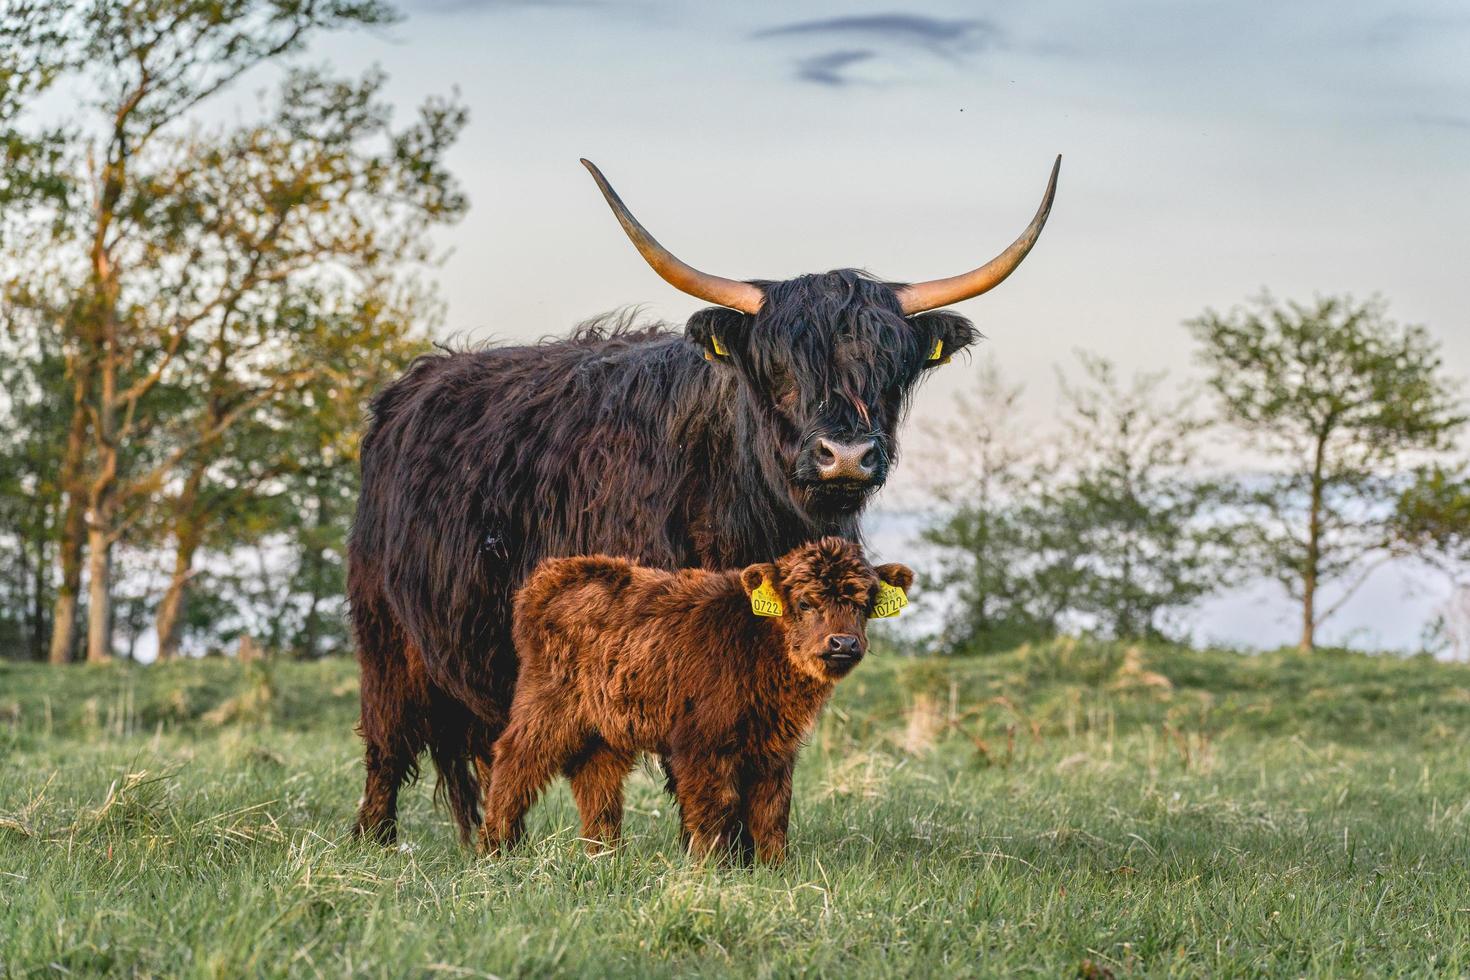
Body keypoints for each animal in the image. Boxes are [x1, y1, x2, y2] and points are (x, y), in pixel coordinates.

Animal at [482, 537, 911, 863]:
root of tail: (553, 573)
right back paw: (494, 850)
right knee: (515, 761)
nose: (844, 643)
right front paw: (708, 869)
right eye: (805, 602)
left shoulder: (775, 748)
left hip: (606, 725)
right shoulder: (701, 743)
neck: (759, 645)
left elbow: (772, 810)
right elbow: (713, 808)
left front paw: (775, 869)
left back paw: (604, 855)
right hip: (546, 705)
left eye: (864, 603)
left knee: (596, 778)